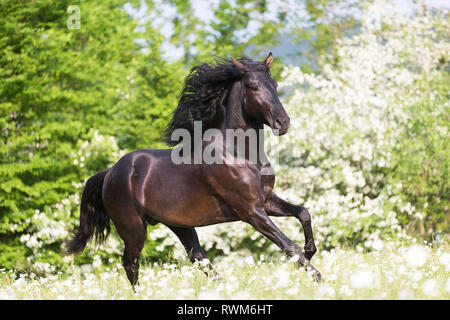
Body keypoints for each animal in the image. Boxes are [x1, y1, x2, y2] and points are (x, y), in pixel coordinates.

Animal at [66, 53, 320, 288]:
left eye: (275, 84)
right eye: (253, 86)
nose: (283, 123)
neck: (240, 154)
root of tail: (109, 173)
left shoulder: (265, 201)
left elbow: (303, 212)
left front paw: (310, 250)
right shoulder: (250, 211)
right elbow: (288, 245)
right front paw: (316, 276)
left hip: (180, 225)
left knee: (197, 257)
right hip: (133, 228)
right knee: (131, 263)